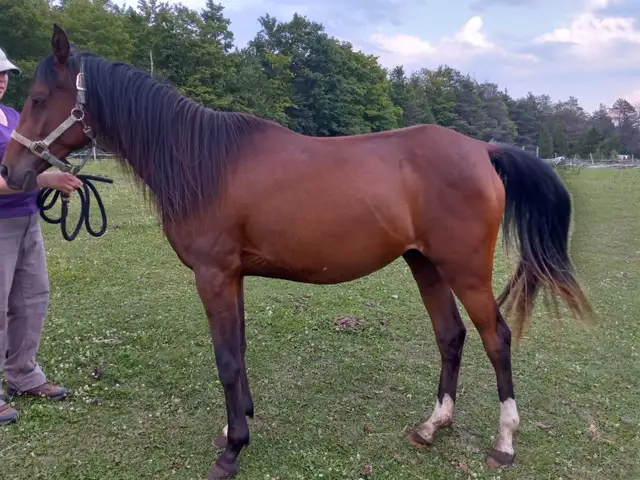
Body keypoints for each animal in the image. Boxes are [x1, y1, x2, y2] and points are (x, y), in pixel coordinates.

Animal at [1, 25, 592, 479]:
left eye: (37, 99)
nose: (10, 170)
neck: (205, 162)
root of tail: (482, 149)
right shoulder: (232, 276)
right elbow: (237, 352)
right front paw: (237, 423)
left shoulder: (213, 275)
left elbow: (226, 359)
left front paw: (231, 451)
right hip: (425, 263)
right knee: (451, 336)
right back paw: (431, 426)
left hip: (464, 269)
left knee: (497, 339)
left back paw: (505, 441)